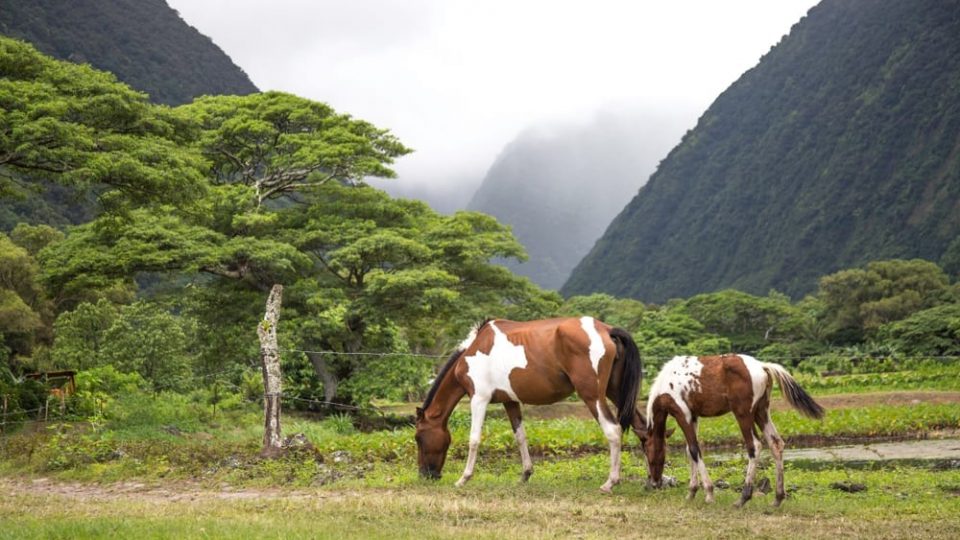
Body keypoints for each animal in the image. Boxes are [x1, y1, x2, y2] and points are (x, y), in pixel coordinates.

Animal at [416, 316, 640, 494]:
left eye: (418, 438)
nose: (425, 475)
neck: (474, 349)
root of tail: (607, 330)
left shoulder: (479, 399)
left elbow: (474, 440)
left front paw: (464, 478)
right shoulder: (510, 401)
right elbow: (520, 437)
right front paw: (525, 474)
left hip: (593, 396)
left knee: (613, 431)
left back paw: (610, 482)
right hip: (615, 393)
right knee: (641, 428)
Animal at [640, 354, 820, 506]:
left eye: (649, 453)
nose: (654, 483)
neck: (666, 382)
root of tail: (763, 366)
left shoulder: (682, 414)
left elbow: (694, 450)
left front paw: (709, 494)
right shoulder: (693, 417)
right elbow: (689, 450)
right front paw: (691, 492)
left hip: (743, 414)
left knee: (755, 446)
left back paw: (743, 498)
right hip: (761, 412)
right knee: (776, 443)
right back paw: (777, 498)